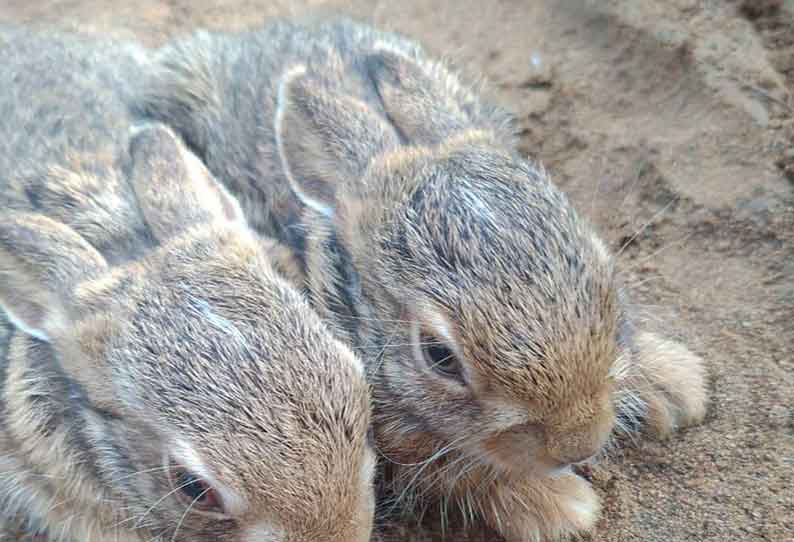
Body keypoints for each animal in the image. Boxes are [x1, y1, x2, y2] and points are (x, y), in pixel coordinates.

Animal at [135, 17, 704, 542]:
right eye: (439, 356)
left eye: (605, 279)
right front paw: (562, 507)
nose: (579, 441)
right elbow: (460, 478)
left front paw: (676, 384)